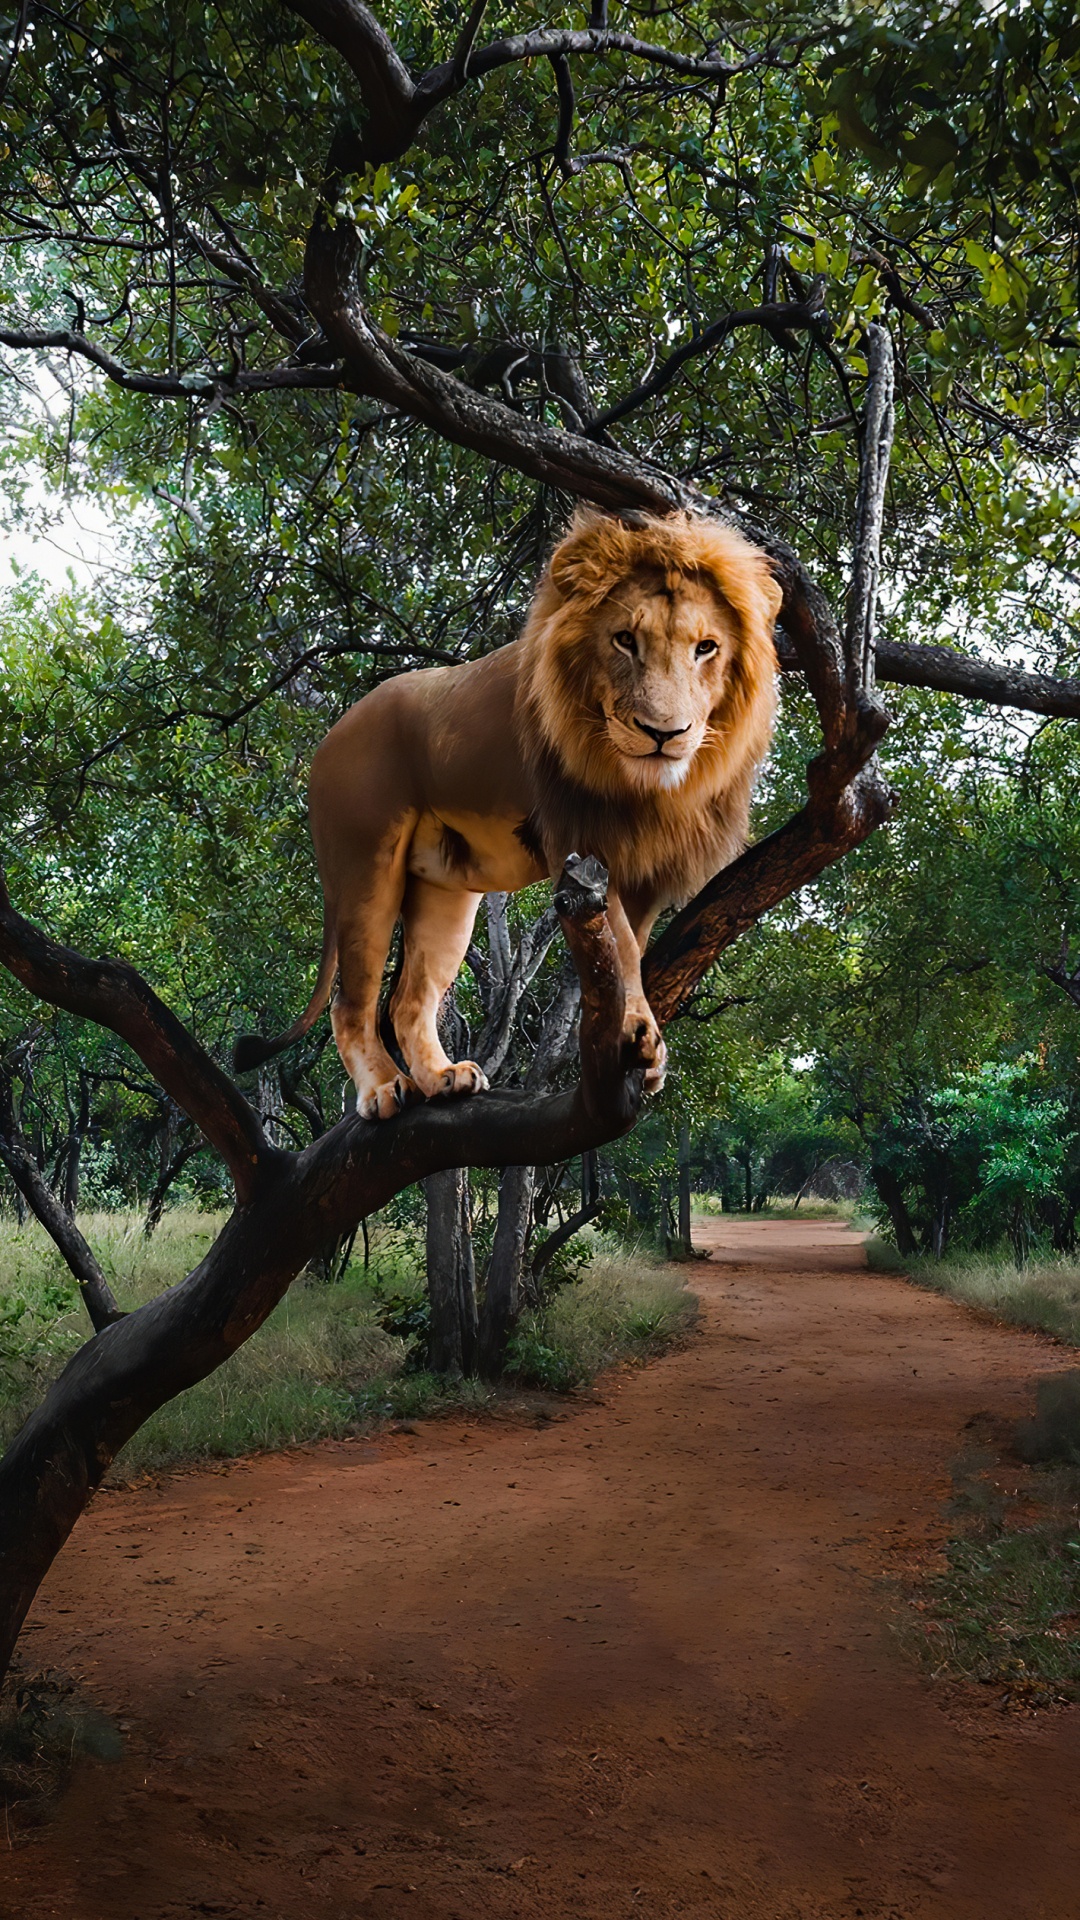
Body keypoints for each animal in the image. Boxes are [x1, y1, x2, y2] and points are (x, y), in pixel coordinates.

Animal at [235, 508, 782, 1118]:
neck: (645, 789)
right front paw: (637, 1033)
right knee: (350, 1002)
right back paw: (382, 1089)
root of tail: (333, 732)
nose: (665, 734)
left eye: (706, 647)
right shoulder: (581, 842)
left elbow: (631, 952)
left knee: (408, 1002)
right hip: (364, 869)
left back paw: (444, 1077)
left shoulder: (645, 867)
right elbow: (619, 944)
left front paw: (645, 1046)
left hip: (444, 893)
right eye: (625, 641)